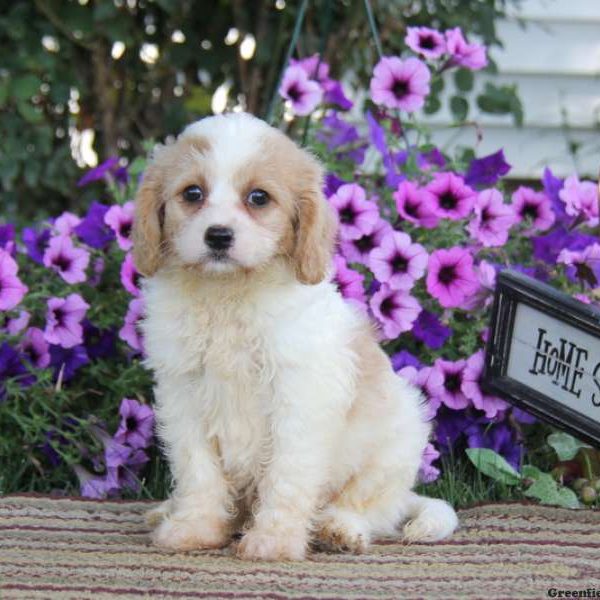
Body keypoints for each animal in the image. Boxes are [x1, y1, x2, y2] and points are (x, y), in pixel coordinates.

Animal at [134, 112, 458, 564]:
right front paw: (194, 528)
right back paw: (169, 511)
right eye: (192, 193)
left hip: (396, 444)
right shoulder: (184, 397)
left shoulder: (299, 399)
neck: (228, 294)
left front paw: (274, 540)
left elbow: (287, 476)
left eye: (258, 198)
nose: (218, 236)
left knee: (370, 506)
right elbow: (198, 471)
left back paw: (339, 529)